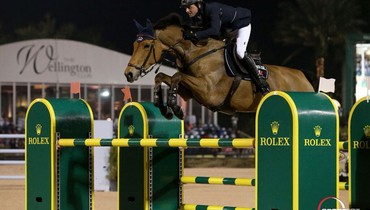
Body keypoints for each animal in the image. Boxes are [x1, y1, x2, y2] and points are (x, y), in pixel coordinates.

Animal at [123, 13, 314, 120]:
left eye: (146, 45)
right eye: (134, 44)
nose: (129, 74)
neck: (195, 52)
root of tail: (304, 77)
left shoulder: (209, 92)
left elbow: (177, 76)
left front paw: (174, 108)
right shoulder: (189, 92)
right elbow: (162, 76)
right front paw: (164, 107)